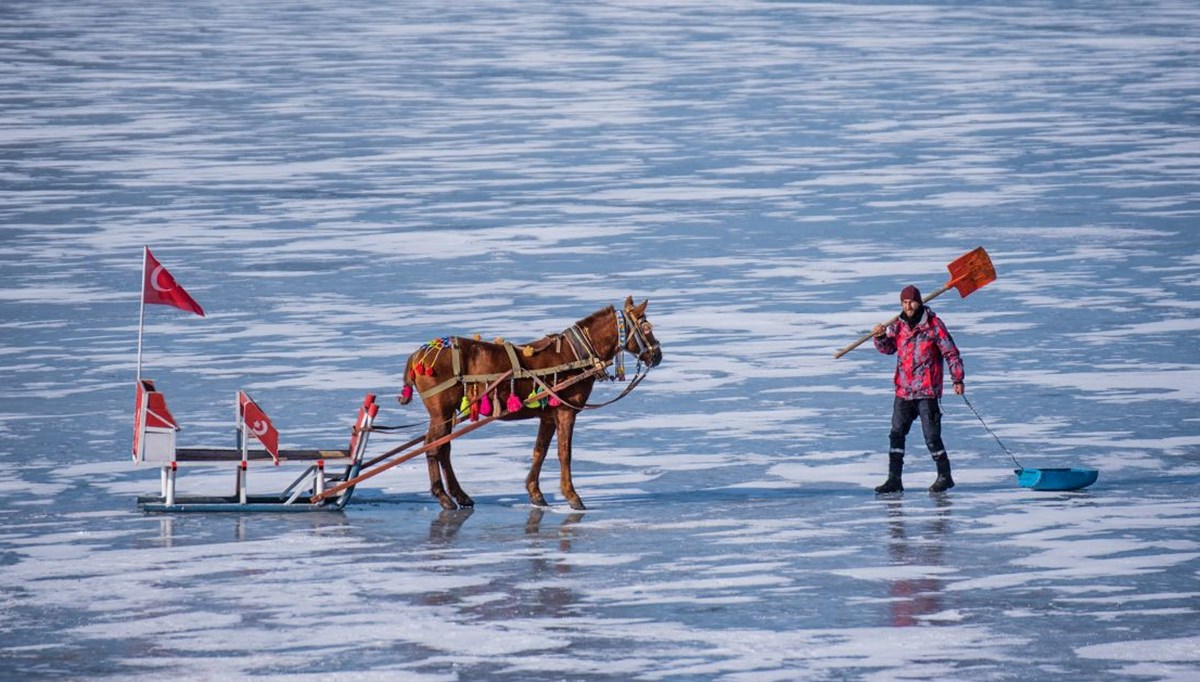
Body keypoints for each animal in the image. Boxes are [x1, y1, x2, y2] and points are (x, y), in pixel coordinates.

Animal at [398, 295, 662, 509]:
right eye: (646, 327)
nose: (657, 355)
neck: (576, 356)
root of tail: (417, 356)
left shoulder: (548, 414)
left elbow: (539, 451)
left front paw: (535, 492)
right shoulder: (566, 411)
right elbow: (564, 453)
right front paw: (572, 496)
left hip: (446, 414)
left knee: (443, 449)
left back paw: (459, 495)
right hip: (440, 412)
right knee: (433, 448)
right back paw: (443, 497)